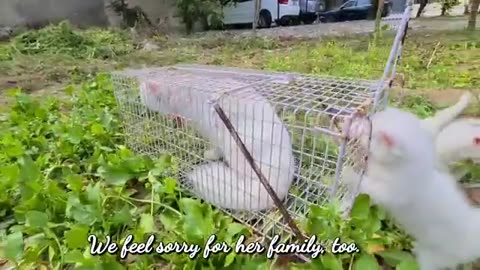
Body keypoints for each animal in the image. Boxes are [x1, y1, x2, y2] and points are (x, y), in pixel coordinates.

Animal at [342, 107, 480, 270]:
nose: (360, 133)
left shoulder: (393, 191)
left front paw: (347, 173)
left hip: (434, 258)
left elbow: (369, 185)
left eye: (370, 135)